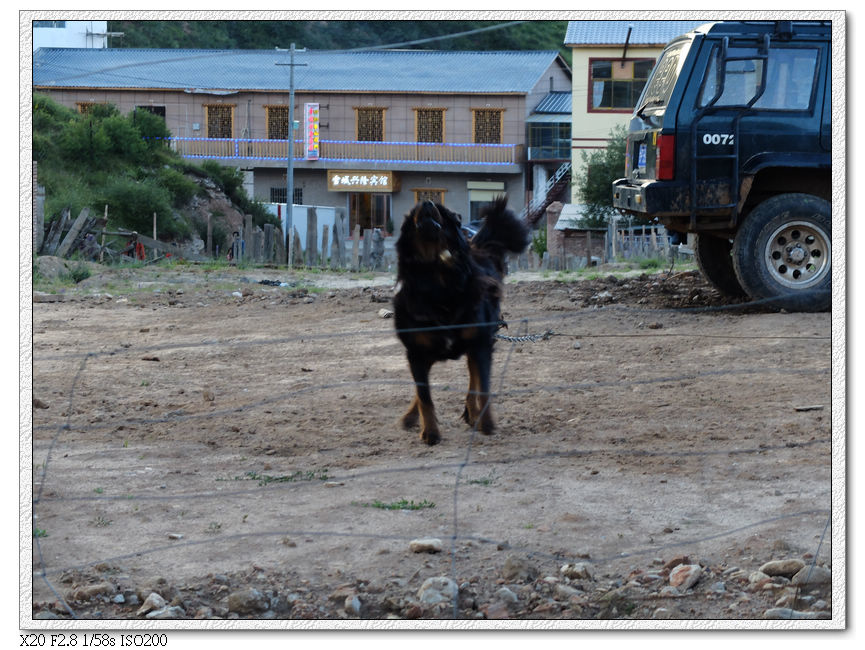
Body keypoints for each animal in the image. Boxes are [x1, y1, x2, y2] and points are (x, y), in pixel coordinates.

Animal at [392, 195, 528, 442]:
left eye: (443, 211)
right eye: (413, 212)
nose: (427, 202)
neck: (438, 276)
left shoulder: (480, 343)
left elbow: (482, 388)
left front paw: (487, 423)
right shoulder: (416, 351)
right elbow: (424, 395)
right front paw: (430, 432)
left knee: (473, 379)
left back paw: (472, 413)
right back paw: (411, 417)